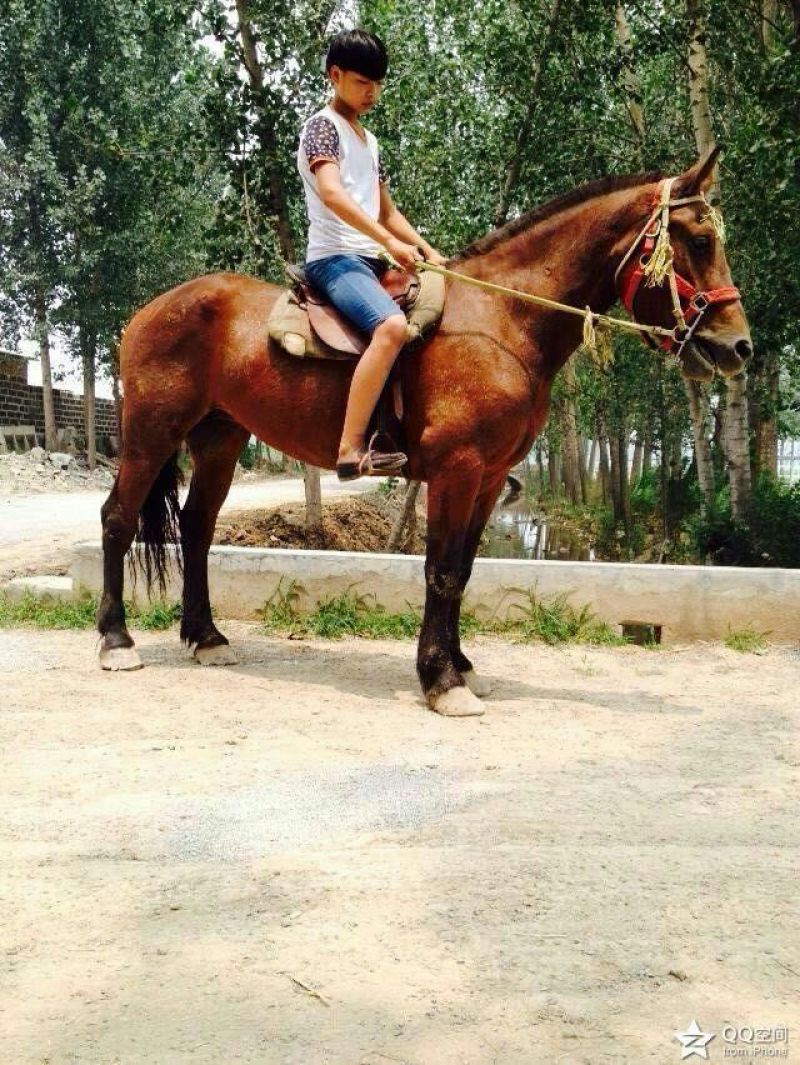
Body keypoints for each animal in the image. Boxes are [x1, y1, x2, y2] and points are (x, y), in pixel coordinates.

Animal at [97, 147, 751, 716]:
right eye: (700, 240)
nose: (738, 346)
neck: (502, 321)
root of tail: (149, 310)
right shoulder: (456, 471)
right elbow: (438, 569)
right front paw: (440, 681)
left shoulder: (488, 479)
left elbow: (460, 572)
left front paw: (459, 665)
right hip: (151, 434)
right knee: (118, 519)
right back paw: (116, 641)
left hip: (219, 440)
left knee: (197, 529)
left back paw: (206, 637)